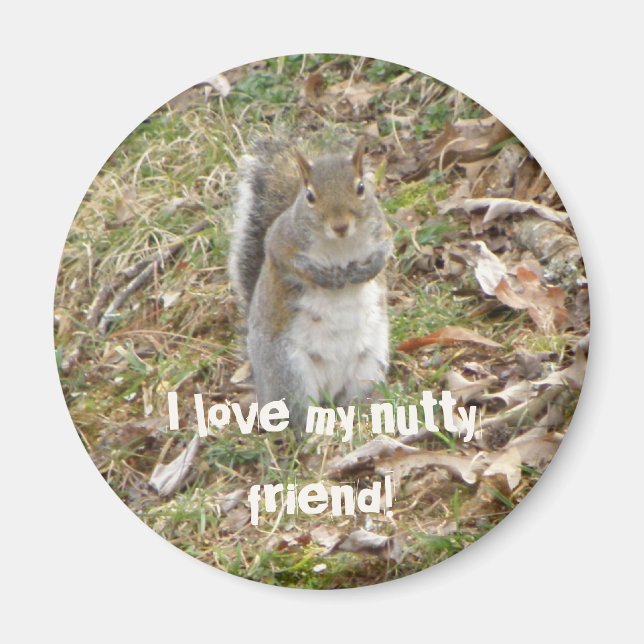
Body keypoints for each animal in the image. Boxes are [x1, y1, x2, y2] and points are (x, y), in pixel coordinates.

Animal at [229, 136, 392, 430]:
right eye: (310, 196)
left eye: (361, 187)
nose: (340, 225)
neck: (341, 244)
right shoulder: (281, 240)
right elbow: (289, 262)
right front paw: (323, 277)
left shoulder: (382, 230)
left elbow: (385, 252)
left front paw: (367, 270)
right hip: (290, 374)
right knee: (298, 414)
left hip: (369, 366)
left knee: (353, 398)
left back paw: (361, 414)